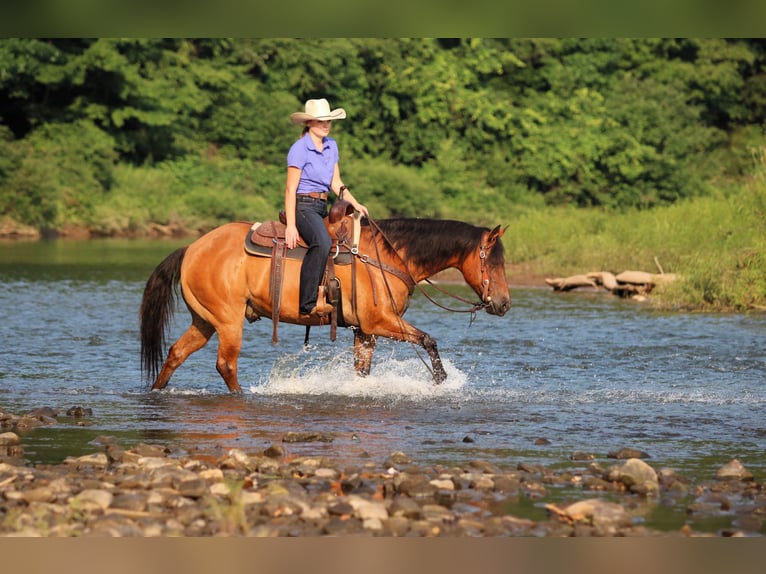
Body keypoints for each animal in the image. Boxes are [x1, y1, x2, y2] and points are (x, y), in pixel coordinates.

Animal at [139, 206, 511, 393]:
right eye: (494, 262)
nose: (504, 303)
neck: (388, 255)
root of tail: (192, 247)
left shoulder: (366, 331)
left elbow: (362, 370)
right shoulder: (381, 322)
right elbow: (429, 340)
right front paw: (441, 381)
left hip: (204, 320)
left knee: (176, 354)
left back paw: (155, 392)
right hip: (228, 321)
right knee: (226, 365)